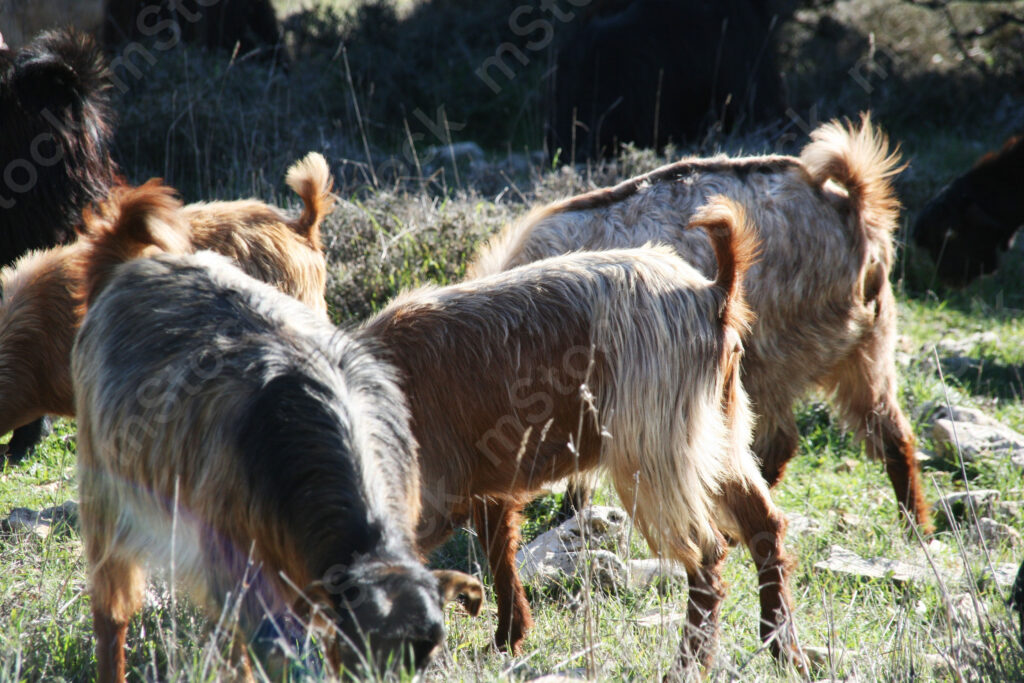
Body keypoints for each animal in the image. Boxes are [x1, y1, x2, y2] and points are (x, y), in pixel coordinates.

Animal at [74, 183, 481, 683]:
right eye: (358, 651)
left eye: (425, 654)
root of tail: (134, 263)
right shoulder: (237, 567)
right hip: (105, 494)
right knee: (112, 612)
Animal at [360, 197, 806, 671]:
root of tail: (712, 293)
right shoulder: (489, 486)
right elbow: (501, 557)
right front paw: (508, 638)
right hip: (720, 436)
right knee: (765, 527)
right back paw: (783, 647)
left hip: (656, 455)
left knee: (706, 557)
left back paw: (688, 664)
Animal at [475, 116, 933, 532]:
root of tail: (853, 209)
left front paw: (570, 510)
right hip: (866, 345)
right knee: (892, 433)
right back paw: (916, 524)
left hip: (772, 352)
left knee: (777, 442)